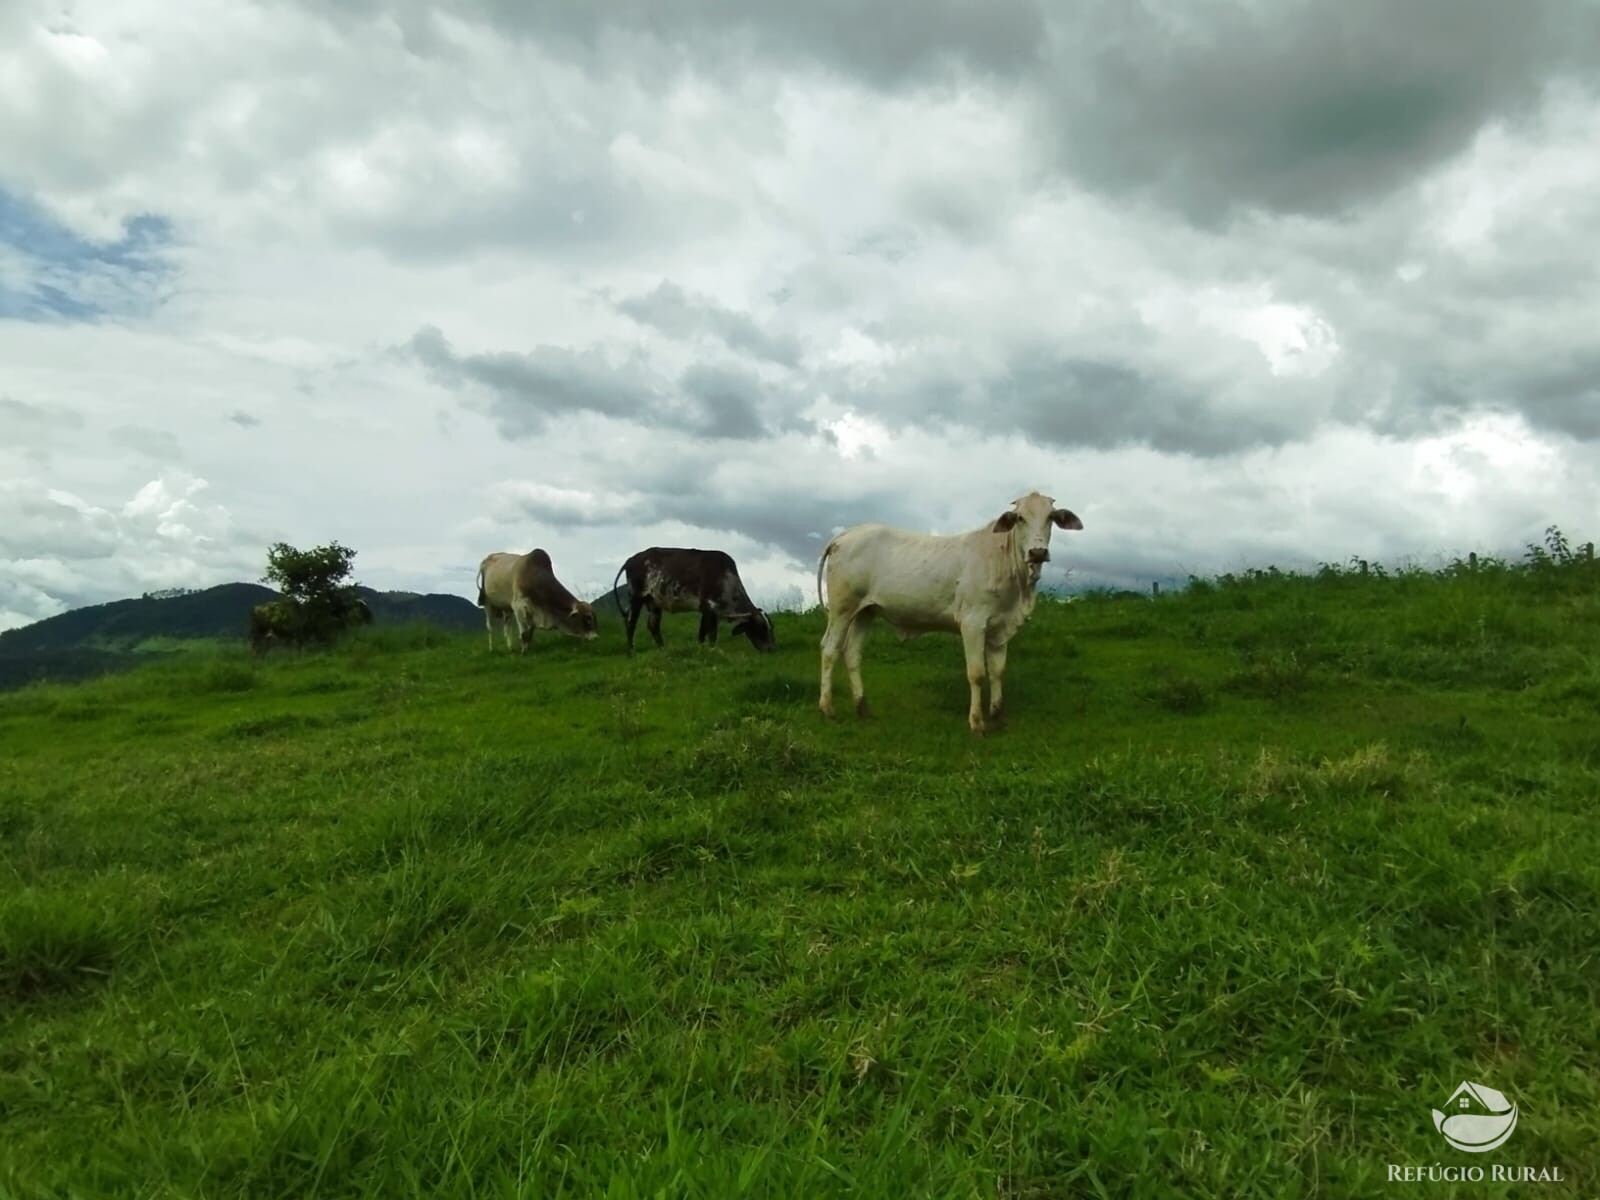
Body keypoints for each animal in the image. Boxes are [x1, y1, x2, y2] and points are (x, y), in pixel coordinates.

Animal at [611, 547, 774, 652]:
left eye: (770, 628)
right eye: (760, 628)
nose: (771, 649)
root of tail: (631, 560)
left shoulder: (706, 610)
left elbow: (702, 632)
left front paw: (701, 648)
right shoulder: (709, 608)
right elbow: (711, 634)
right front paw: (712, 649)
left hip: (654, 602)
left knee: (653, 626)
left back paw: (663, 649)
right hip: (636, 598)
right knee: (630, 623)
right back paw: (631, 651)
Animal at [812, 492, 1088, 739]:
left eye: (1051, 516)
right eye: (1020, 517)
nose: (1037, 552)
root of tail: (847, 534)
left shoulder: (1000, 628)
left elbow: (997, 671)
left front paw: (998, 717)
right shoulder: (973, 623)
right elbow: (977, 673)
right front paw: (977, 723)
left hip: (866, 612)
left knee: (852, 653)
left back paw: (863, 709)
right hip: (842, 609)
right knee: (830, 649)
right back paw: (827, 708)